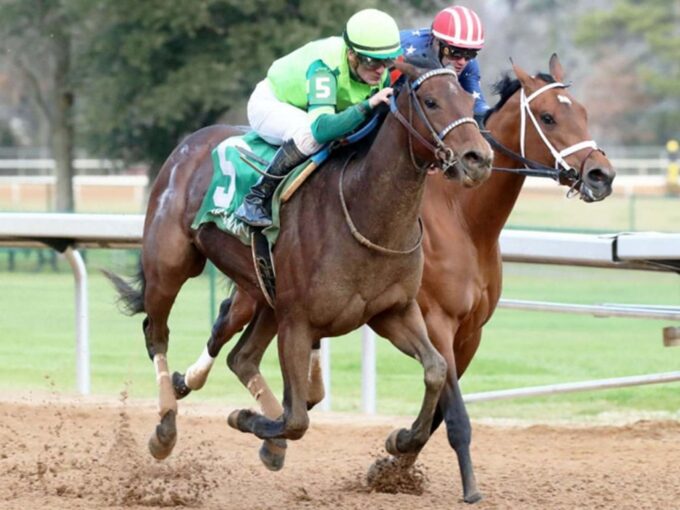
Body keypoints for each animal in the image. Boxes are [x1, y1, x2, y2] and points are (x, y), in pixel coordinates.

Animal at [103, 63, 492, 470]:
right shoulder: (298, 322)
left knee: (241, 356)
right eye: (431, 102)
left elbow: (436, 369)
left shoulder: (393, 311)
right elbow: (296, 420)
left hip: (263, 290)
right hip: (170, 267)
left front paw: (403, 438)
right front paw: (244, 418)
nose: (478, 158)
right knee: (157, 334)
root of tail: (187, 144)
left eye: (470, 101)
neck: (364, 210)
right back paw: (165, 427)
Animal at [171, 52, 616, 502]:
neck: (463, 220)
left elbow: (438, 403)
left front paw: (395, 459)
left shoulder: (469, 333)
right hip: (259, 289)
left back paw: (271, 433)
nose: (601, 175)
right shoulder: (434, 320)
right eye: (548, 117)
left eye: (583, 113)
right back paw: (182, 389)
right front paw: (456, 480)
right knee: (223, 329)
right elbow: (454, 411)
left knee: (249, 357)